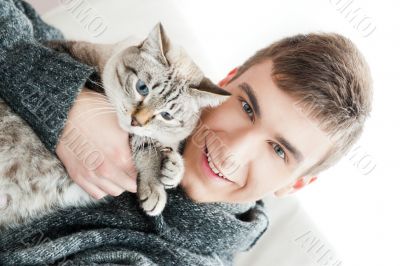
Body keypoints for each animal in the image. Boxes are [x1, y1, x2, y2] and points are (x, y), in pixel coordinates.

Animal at [0, 22, 231, 229]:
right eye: (142, 87)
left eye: (166, 115)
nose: (136, 121)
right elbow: (144, 145)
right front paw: (155, 188)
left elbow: (164, 149)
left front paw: (172, 169)